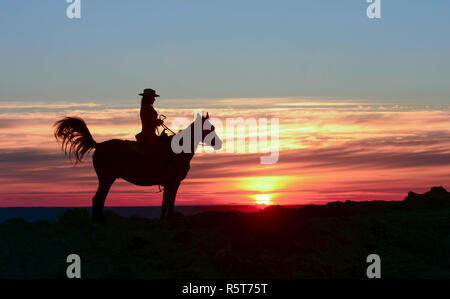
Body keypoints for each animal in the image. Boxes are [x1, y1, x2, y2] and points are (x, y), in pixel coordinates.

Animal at [53, 113, 222, 224]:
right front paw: (167, 221)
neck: (178, 150)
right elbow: (169, 202)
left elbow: (166, 202)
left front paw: (163, 220)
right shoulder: (173, 182)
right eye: (209, 128)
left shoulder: (170, 183)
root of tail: (98, 145)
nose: (219, 143)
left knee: (100, 199)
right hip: (106, 179)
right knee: (98, 198)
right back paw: (99, 222)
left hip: (106, 179)